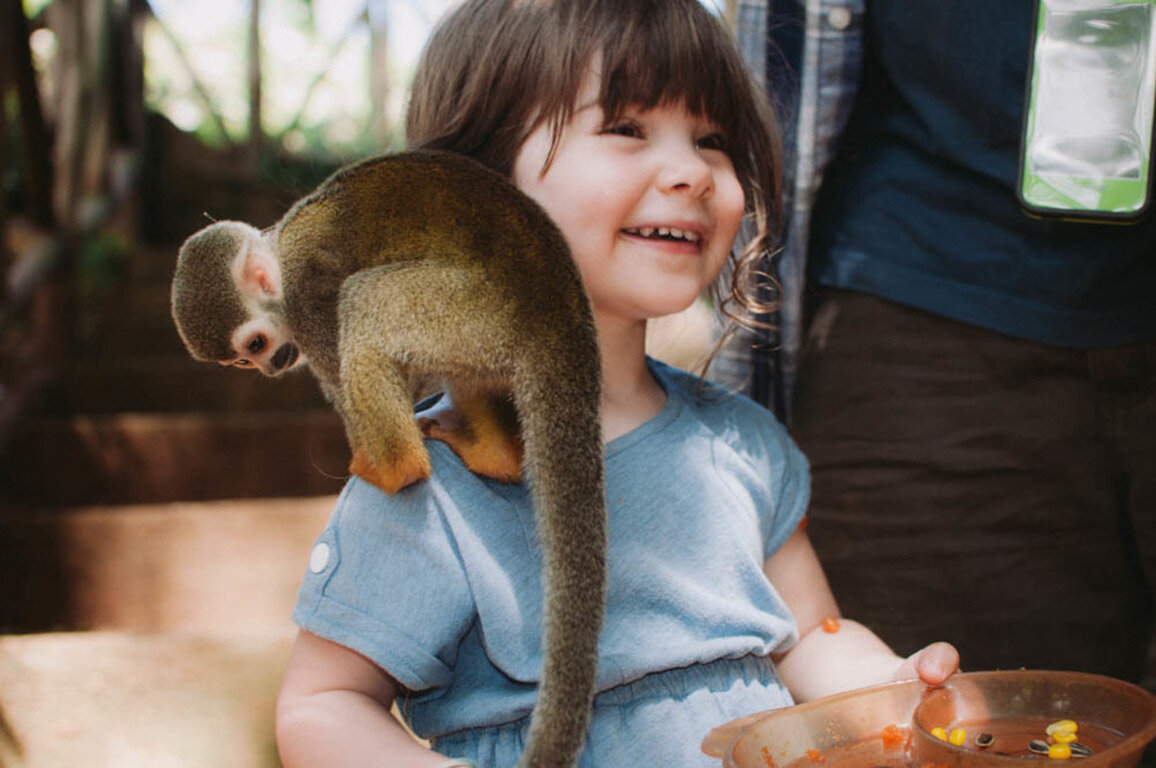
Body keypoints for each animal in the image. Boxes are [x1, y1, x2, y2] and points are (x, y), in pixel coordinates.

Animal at [170, 149, 606, 768]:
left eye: (253, 345)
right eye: (241, 362)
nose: (272, 367)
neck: (282, 243)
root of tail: (557, 304)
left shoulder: (306, 290)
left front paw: (370, 451)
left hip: (472, 309)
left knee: (364, 299)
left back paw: (390, 465)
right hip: (481, 329)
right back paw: (494, 456)